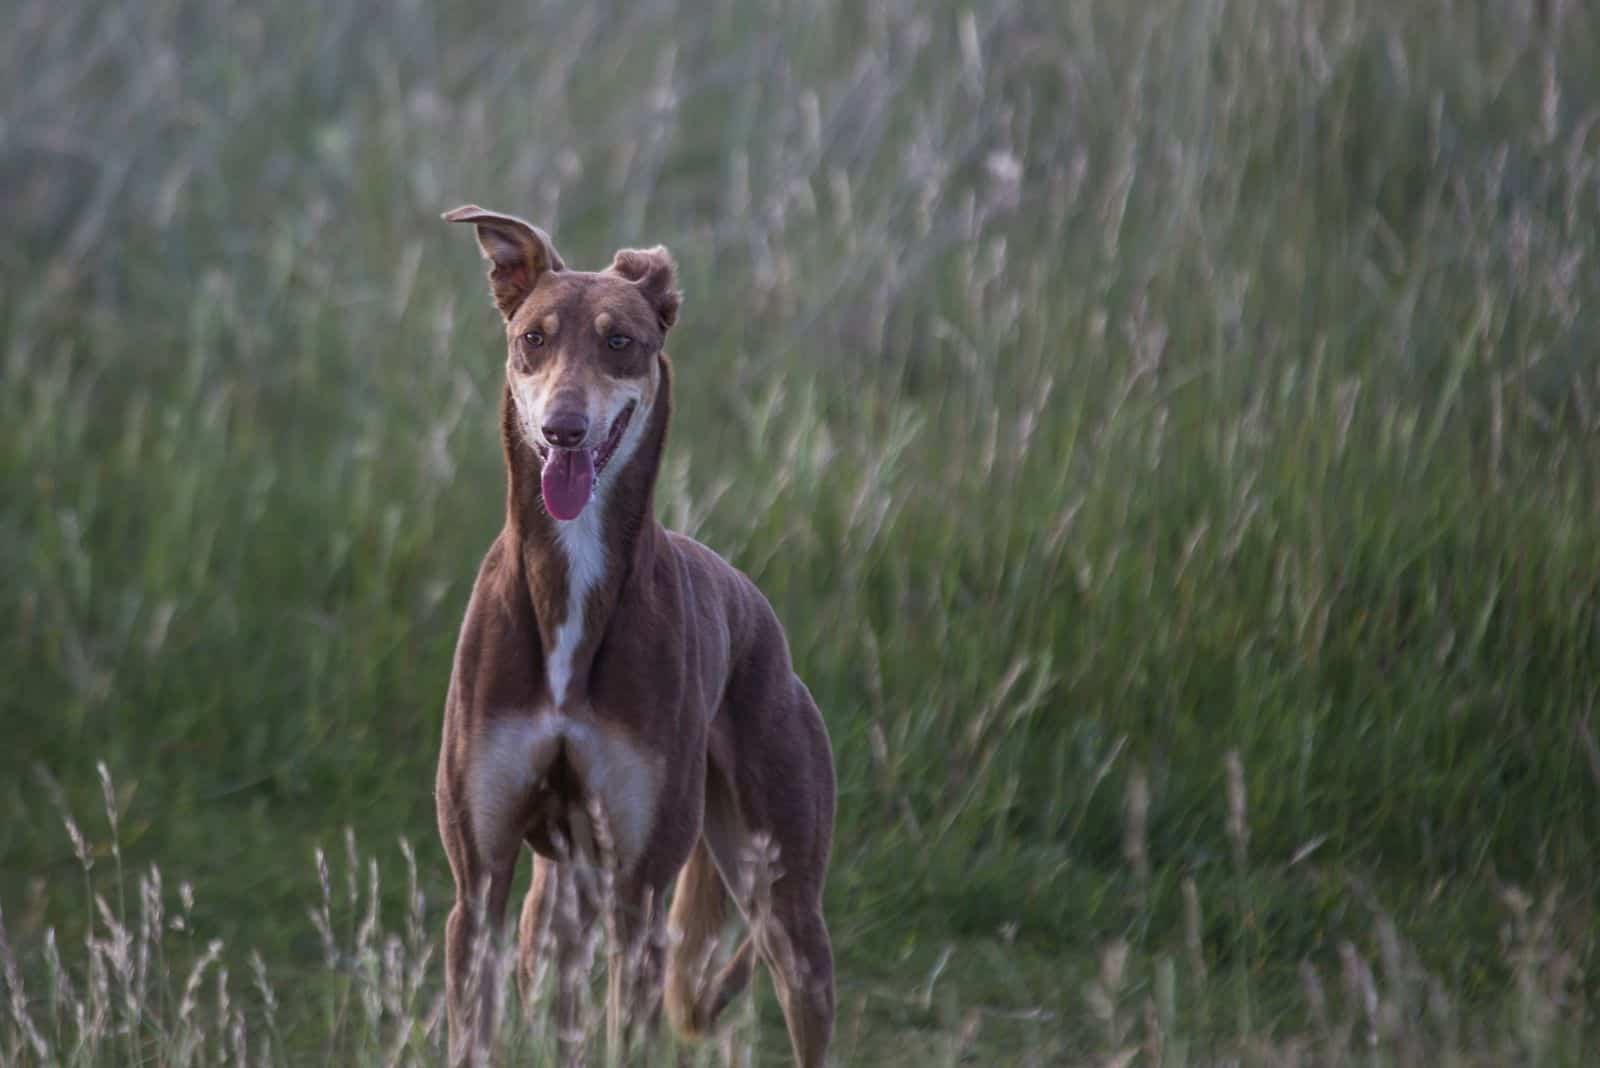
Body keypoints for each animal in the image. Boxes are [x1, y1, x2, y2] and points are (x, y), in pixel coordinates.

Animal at [438, 204, 838, 1061]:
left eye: (620, 340)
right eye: (534, 338)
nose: (564, 428)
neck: (570, 585)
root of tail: (758, 612)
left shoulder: (641, 894)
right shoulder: (479, 885)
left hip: (785, 908)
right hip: (555, 910)